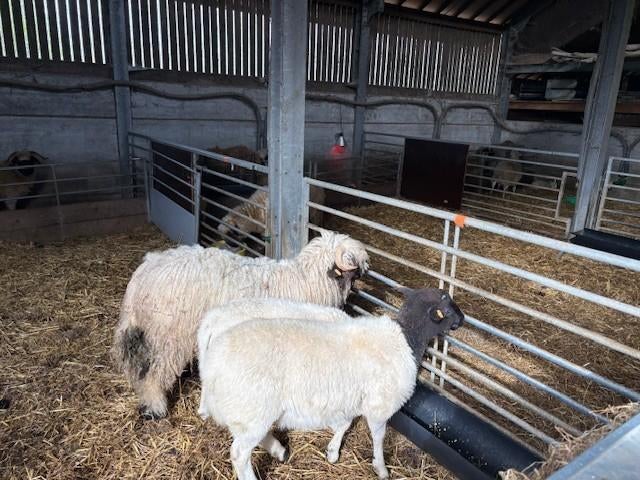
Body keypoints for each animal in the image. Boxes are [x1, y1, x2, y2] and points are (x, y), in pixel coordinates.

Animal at [112, 229, 369, 420]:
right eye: (355, 266)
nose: (366, 276)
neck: (308, 282)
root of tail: (143, 275)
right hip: (168, 338)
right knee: (154, 373)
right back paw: (155, 407)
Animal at [197, 288, 464, 480]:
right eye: (448, 306)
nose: (462, 319)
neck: (406, 339)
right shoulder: (379, 405)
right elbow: (378, 437)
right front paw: (381, 468)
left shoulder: (347, 398)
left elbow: (344, 424)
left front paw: (333, 452)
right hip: (252, 410)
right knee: (239, 454)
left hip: (248, 412)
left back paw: (278, 450)